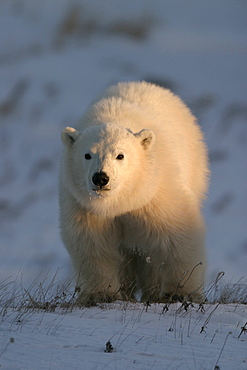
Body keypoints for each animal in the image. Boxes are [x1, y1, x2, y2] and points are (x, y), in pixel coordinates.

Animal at [59, 81, 208, 304]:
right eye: (87, 155)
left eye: (120, 155)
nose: (101, 178)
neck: (121, 202)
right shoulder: (85, 207)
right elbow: (94, 245)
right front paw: (99, 294)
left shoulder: (155, 193)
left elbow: (177, 236)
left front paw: (179, 293)